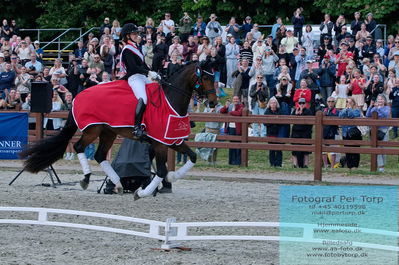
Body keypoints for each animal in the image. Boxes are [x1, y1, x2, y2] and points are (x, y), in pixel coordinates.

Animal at [19, 60, 217, 199]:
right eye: (206, 77)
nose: (213, 102)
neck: (170, 100)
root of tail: (77, 96)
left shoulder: (172, 141)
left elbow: (192, 157)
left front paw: (172, 177)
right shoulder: (160, 143)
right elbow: (161, 171)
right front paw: (142, 192)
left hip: (108, 132)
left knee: (99, 155)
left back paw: (118, 184)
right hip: (93, 129)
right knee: (79, 147)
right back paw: (87, 179)